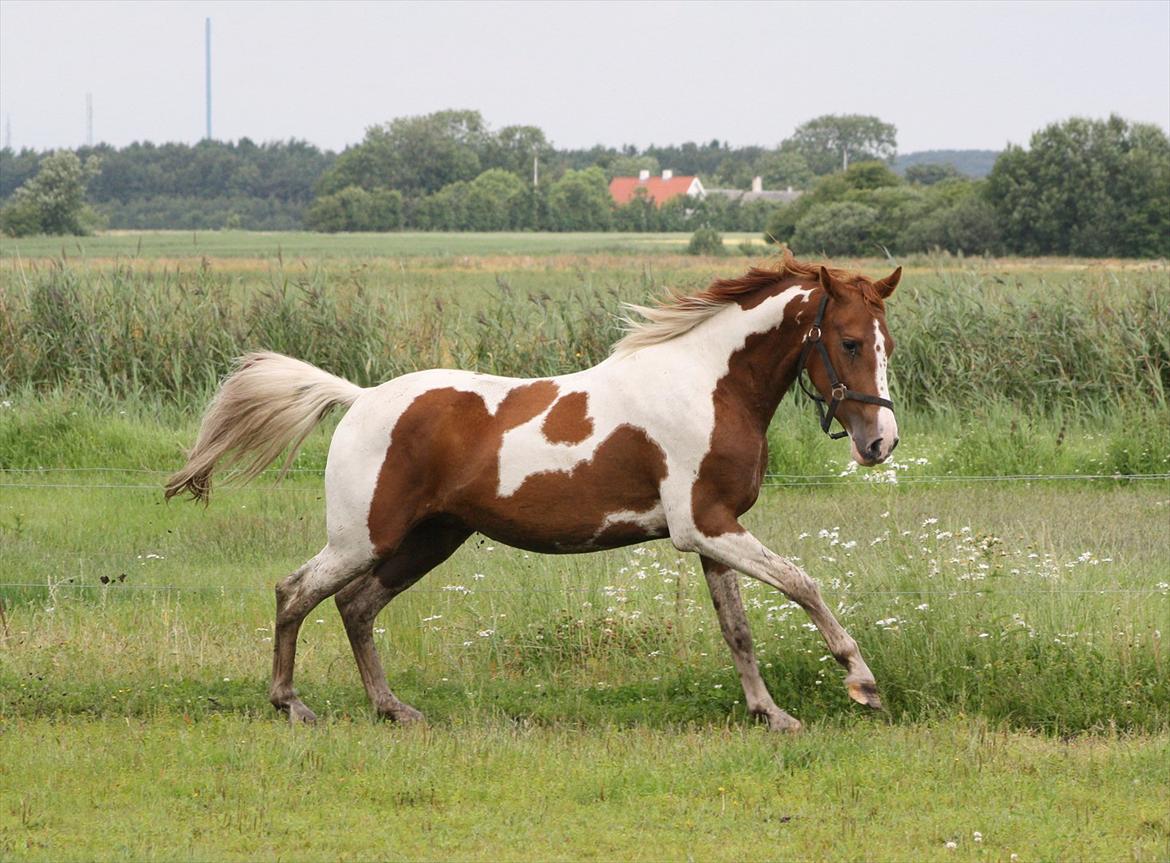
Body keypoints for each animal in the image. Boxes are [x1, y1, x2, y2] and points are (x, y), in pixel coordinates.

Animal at [164, 252, 898, 729]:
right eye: (849, 341)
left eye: (887, 341)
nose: (880, 443)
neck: (708, 385)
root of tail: (361, 396)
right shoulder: (706, 527)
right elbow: (803, 583)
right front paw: (861, 683)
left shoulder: (713, 531)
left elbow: (737, 628)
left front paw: (770, 713)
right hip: (362, 537)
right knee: (297, 592)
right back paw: (291, 704)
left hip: (431, 538)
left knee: (356, 606)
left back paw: (392, 708)